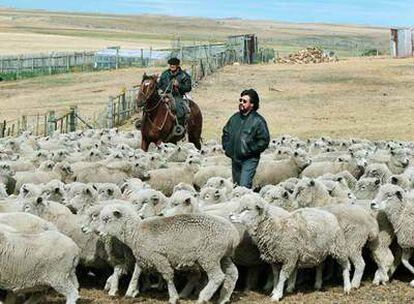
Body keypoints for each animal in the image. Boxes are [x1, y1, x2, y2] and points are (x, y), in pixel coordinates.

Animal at [96, 203, 239, 304]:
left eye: (106, 219)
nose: (97, 232)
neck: (135, 231)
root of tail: (233, 234)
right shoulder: (144, 256)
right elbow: (136, 272)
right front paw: (130, 291)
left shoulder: (159, 257)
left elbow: (168, 276)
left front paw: (173, 297)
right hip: (223, 256)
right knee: (232, 273)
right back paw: (223, 298)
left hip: (209, 256)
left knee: (218, 276)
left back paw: (203, 297)